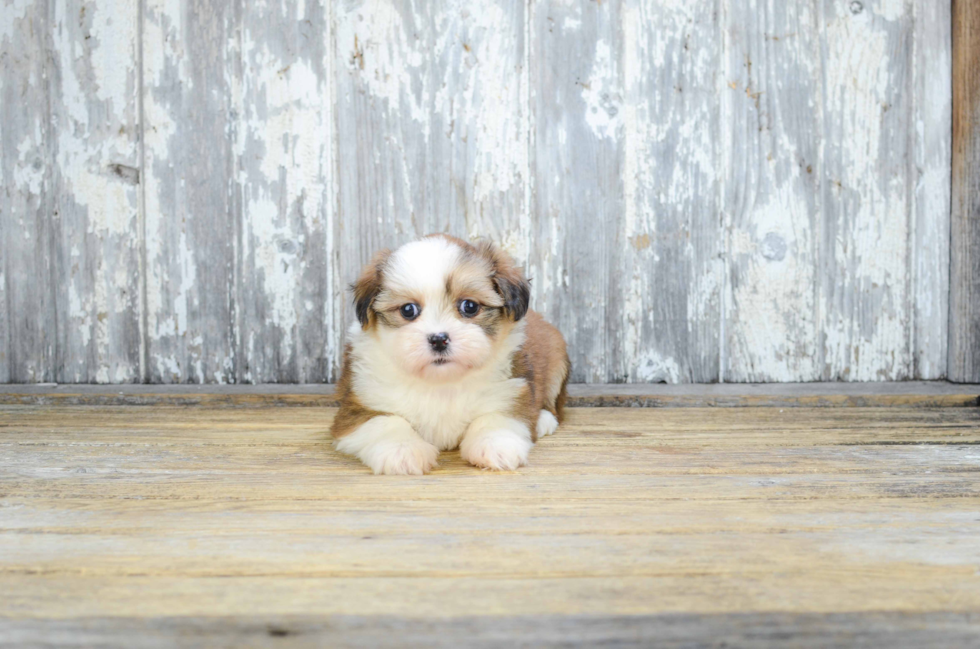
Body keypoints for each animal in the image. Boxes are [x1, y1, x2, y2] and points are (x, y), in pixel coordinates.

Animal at [334, 235, 572, 474]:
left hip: (557, 356)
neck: (442, 383)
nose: (439, 339)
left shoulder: (511, 391)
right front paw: (402, 450)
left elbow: (497, 417)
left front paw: (494, 444)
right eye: (408, 310)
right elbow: (384, 422)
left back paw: (543, 419)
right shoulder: (359, 404)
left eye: (469, 306)